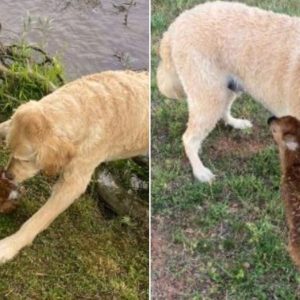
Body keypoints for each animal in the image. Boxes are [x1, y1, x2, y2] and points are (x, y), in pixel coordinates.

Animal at [0, 70, 148, 262]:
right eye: (9, 149)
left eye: (26, 160)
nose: (7, 175)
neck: (84, 108)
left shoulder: (74, 182)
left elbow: (39, 218)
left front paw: (9, 246)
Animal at [157, 1, 300, 182]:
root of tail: (176, 24)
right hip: (210, 96)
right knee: (189, 138)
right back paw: (200, 172)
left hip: (228, 87)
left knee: (223, 112)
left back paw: (236, 123)